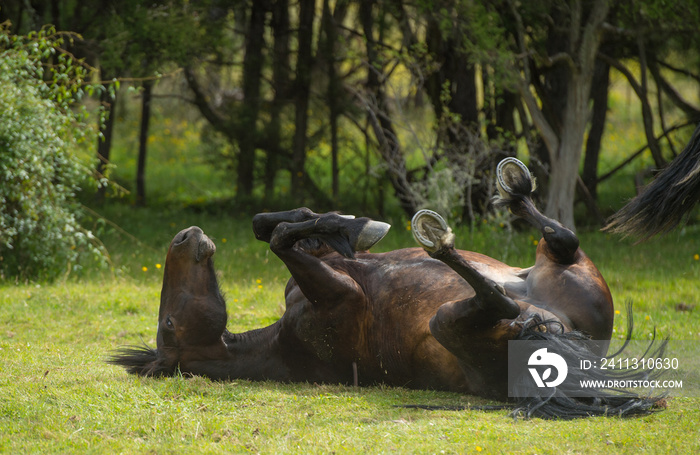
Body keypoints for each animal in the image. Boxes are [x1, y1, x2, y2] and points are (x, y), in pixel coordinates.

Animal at [112, 159, 664, 418]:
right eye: (168, 324)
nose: (185, 237)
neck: (280, 344)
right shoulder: (342, 298)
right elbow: (281, 237)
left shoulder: (322, 266)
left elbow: (273, 226)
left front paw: (353, 224)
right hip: (457, 321)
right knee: (497, 295)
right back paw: (440, 239)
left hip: (560, 268)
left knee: (559, 239)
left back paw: (512, 186)